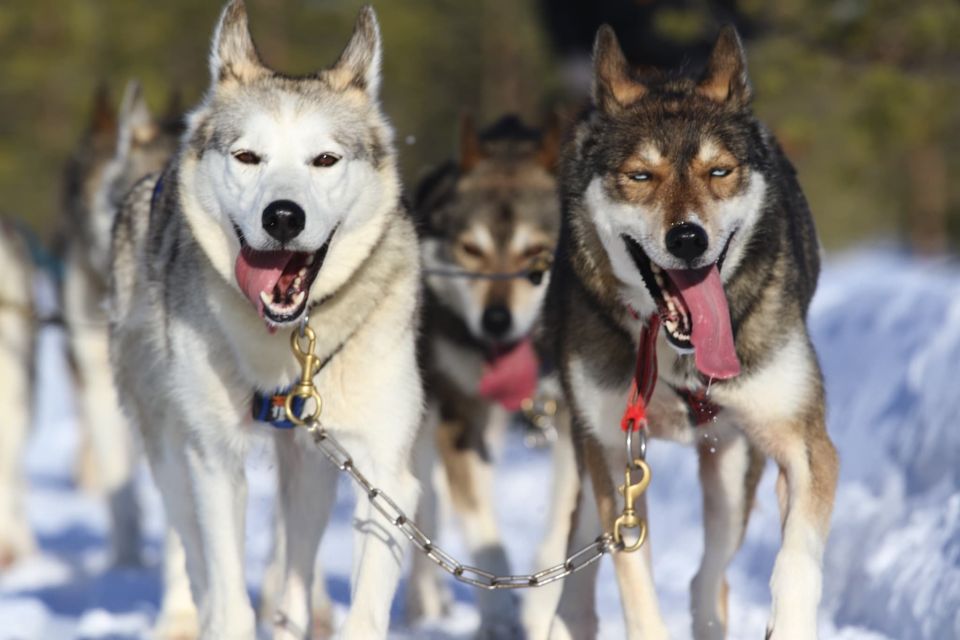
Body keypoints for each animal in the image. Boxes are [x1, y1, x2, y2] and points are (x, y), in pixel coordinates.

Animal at [108, 2, 420, 636]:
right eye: (247, 157)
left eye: (325, 159)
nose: (282, 216)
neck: (288, 344)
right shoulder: (215, 461)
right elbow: (227, 596)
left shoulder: (384, 473)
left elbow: (363, 608)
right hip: (171, 450)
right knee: (195, 561)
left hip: (314, 470)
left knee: (295, 568)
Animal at [406, 115, 564, 636]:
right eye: (471, 250)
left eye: (537, 252)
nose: (496, 321)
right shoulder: (459, 421)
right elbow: (481, 532)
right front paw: (496, 621)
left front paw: (539, 613)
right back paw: (425, 607)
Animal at [544, 23, 844, 636]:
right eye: (640, 176)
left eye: (719, 171)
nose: (687, 238)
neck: (674, 353)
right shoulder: (612, 455)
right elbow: (633, 582)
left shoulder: (804, 443)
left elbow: (797, 560)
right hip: (591, 451)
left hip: (732, 469)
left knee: (709, 578)